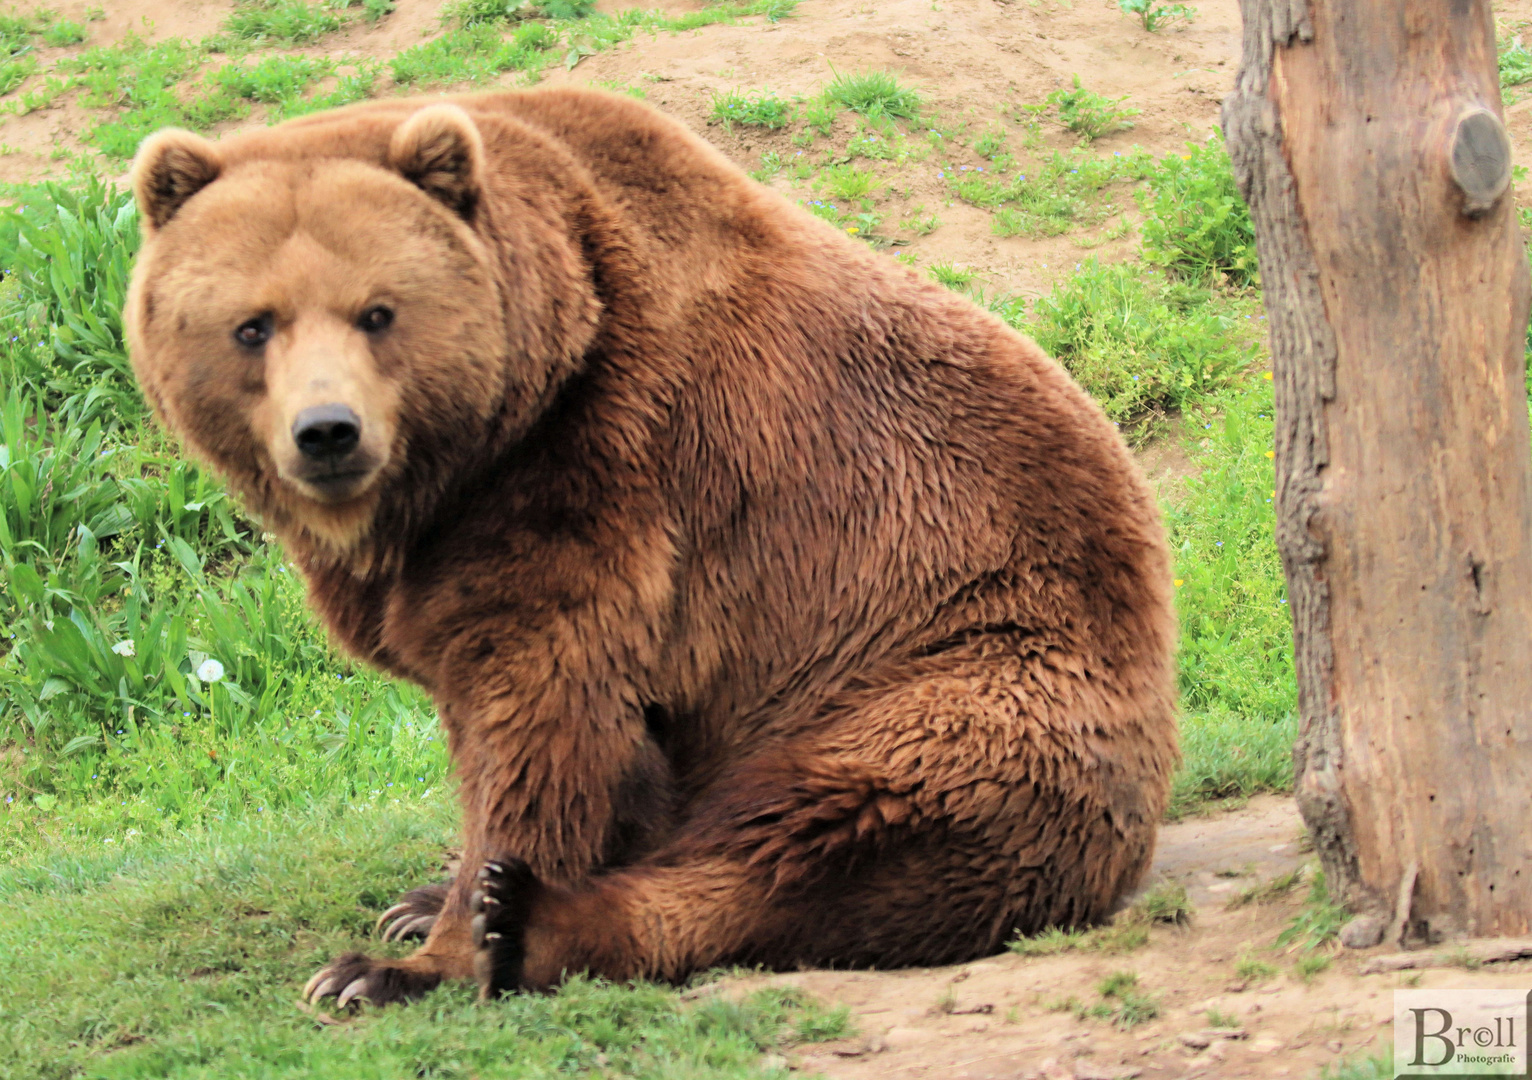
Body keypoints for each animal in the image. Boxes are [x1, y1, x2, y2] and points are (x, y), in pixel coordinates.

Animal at [125, 88, 1176, 1004]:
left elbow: (546, 718)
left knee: (816, 830)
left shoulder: (603, 468)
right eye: (253, 326)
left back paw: (533, 925)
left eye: (378, 312)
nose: (328, 433)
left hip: (964, 669)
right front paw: (427, 903)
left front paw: (405, 963)